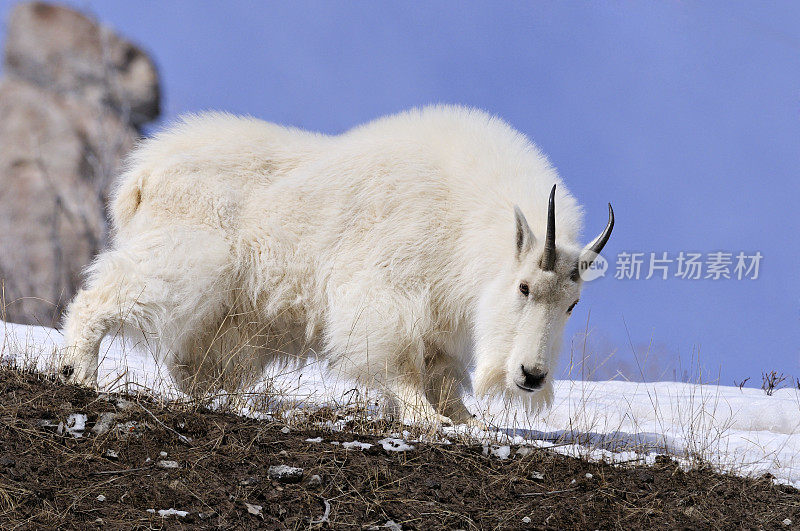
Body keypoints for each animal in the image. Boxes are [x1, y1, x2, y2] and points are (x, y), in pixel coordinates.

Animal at [61, 106, 612, 426]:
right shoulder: (386, 292)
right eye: (524, 287)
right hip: (186, 258)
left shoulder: (441, 320)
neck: (464, 215)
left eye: (572, 304)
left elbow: (441, 376)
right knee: (101, 296)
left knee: (191, 368)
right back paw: (78, 371)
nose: (531, 376)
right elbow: (399, 364)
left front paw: (466, 422)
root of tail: (141, 176)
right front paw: (427, 420)